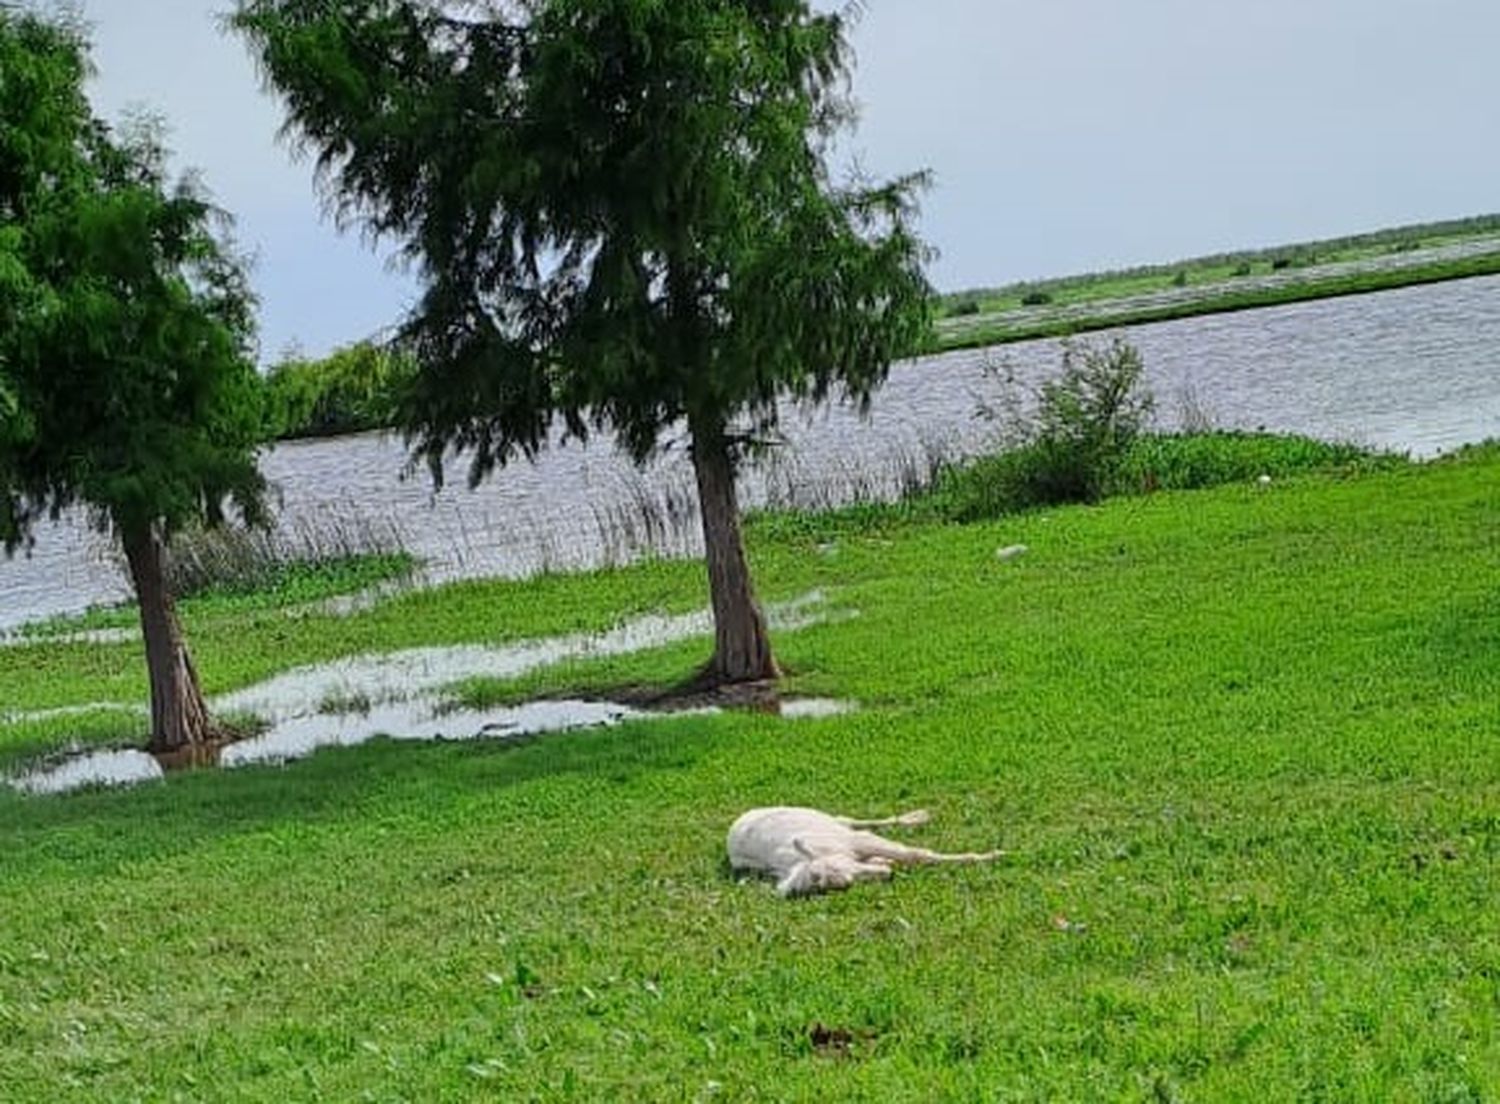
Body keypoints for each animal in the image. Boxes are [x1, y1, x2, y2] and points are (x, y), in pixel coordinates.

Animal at [729, 810, 1008, 900]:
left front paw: (992, 855)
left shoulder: (858, 842)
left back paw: (917, 816)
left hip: (826, 819)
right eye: (844, 885)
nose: (888, 875)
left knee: (854, 822)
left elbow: (916, 854)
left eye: (844, 873)